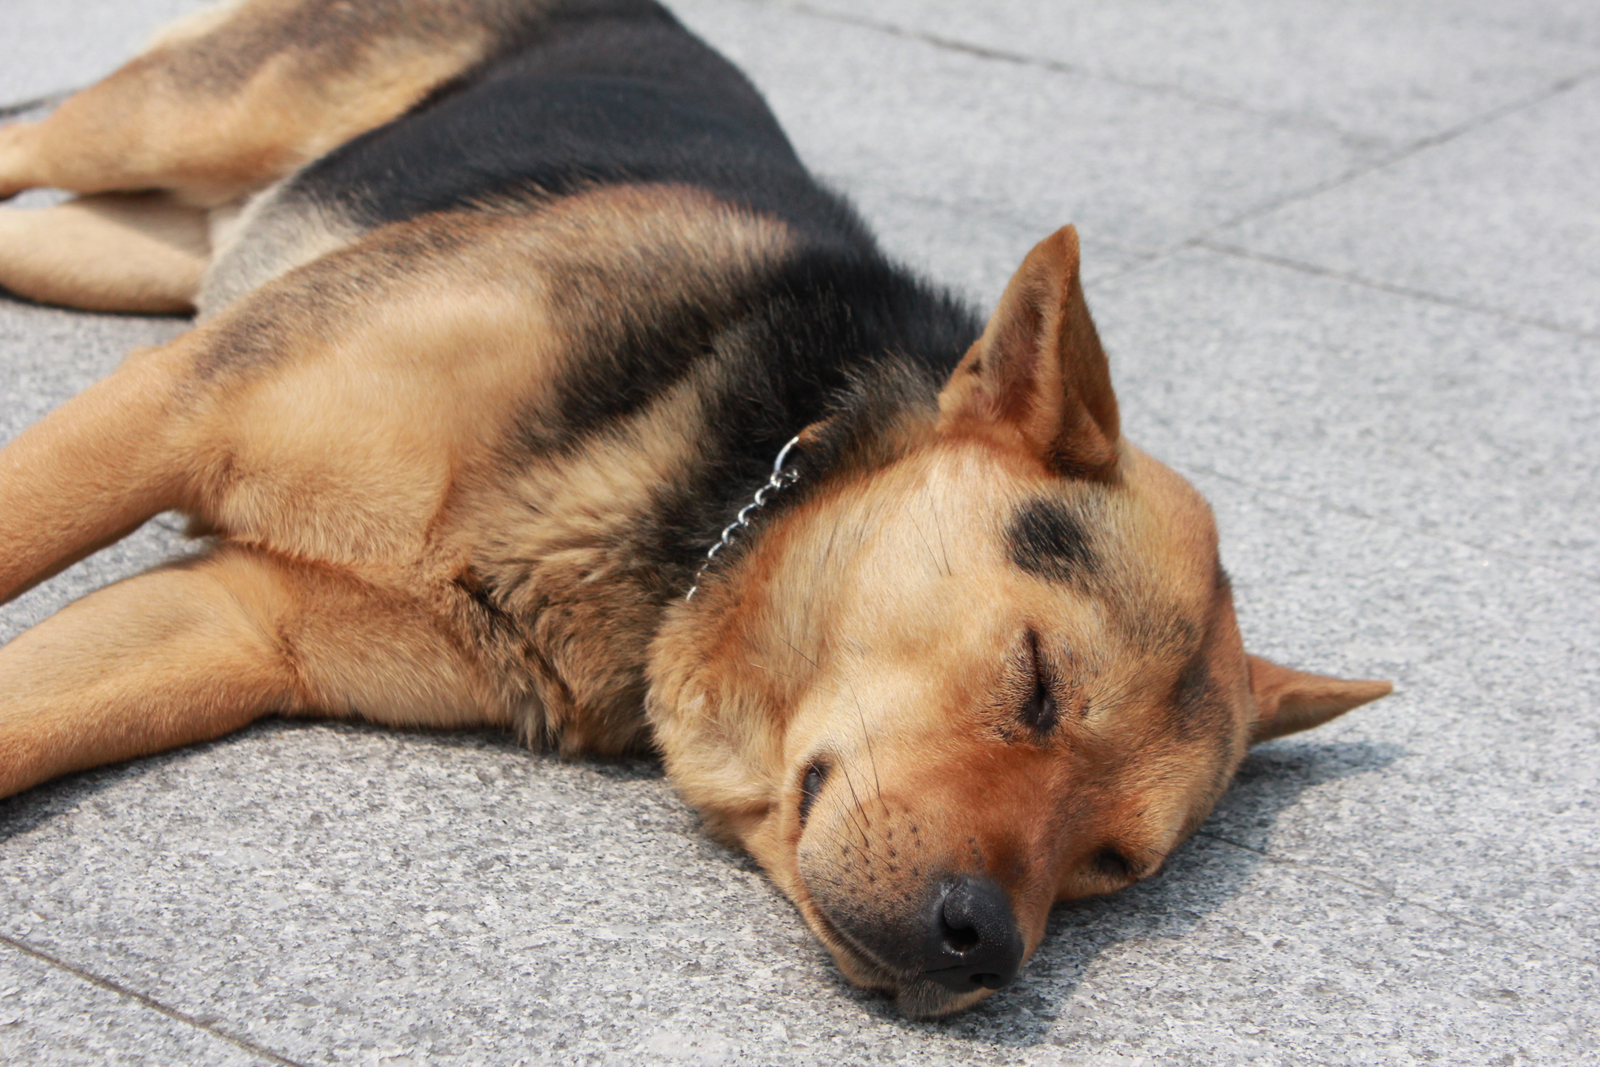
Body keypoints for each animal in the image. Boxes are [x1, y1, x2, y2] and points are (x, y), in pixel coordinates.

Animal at [0, 0, 1388, 1017]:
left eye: (1115, 862)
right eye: (1037, 679)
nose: (986, 945)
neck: (716, 505)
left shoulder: (236, 624)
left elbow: (35, 711)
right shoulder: (177, 408)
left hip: (123, 252)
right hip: (164, 128)